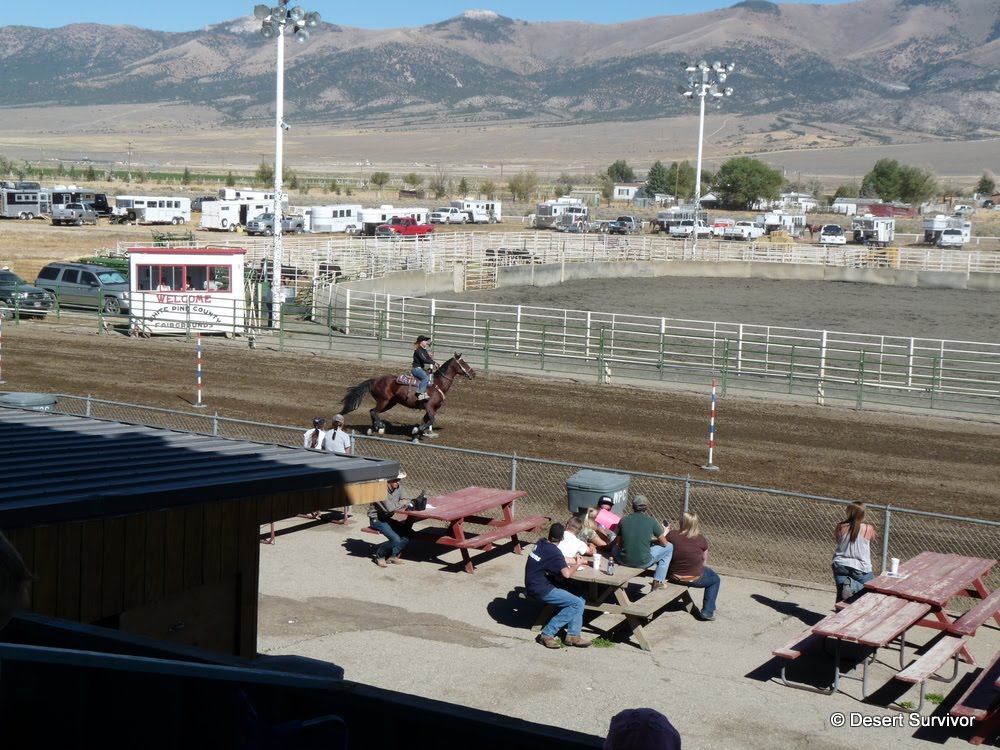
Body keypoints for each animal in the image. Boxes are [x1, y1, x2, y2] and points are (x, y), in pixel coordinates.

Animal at [340, 353, 476, 441]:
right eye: (462, 362)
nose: (473, 373)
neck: (437, 383)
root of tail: (375, 380)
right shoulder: (429, 406)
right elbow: (431, 420)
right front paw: (417, 430)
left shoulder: (431, 409)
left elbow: (425, 421)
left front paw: (417, 433)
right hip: (383, 401)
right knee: (374, 411)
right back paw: (380, 427)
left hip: (390, 403)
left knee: (372, 411)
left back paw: (374, 428)